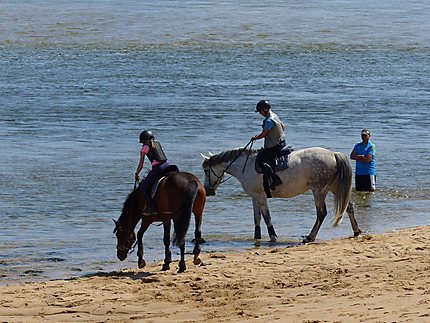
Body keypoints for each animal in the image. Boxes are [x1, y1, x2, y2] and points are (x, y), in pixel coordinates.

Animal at [202, 147, 360, 243]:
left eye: (206, 170)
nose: (208, 190)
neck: (246, 166)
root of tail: (334, 155)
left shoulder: (261, 196)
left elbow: (266, 216)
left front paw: (272, 235)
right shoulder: (254, 196)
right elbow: (257, 217)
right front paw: (257, 237)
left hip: (319, 190)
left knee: (321, 213)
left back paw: (310, 237)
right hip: (335, 188)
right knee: (349, 207)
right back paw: (356, 231)